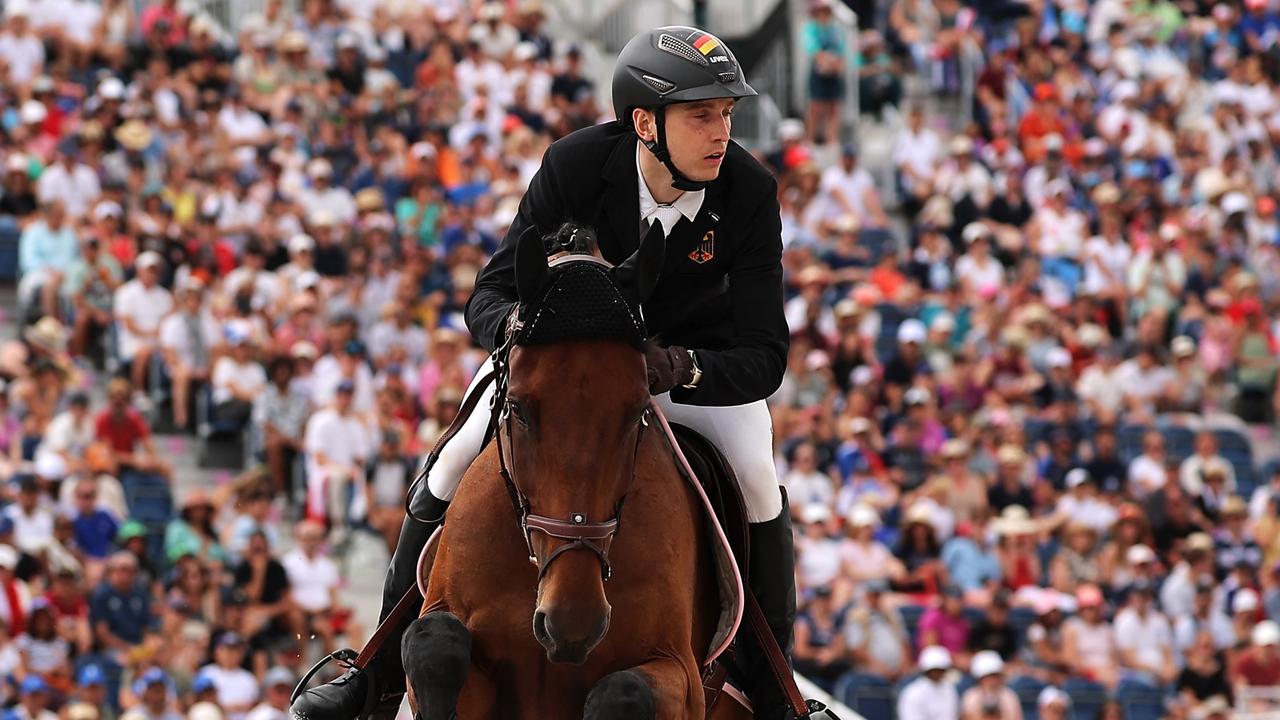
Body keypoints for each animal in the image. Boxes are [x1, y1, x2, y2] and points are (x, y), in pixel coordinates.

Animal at [404, 221, 752, 712]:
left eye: (636, 412)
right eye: (518, 408)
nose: (572, 622)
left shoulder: (682, 676)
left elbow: (622, 692)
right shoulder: (452, 623)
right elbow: (434, 645)